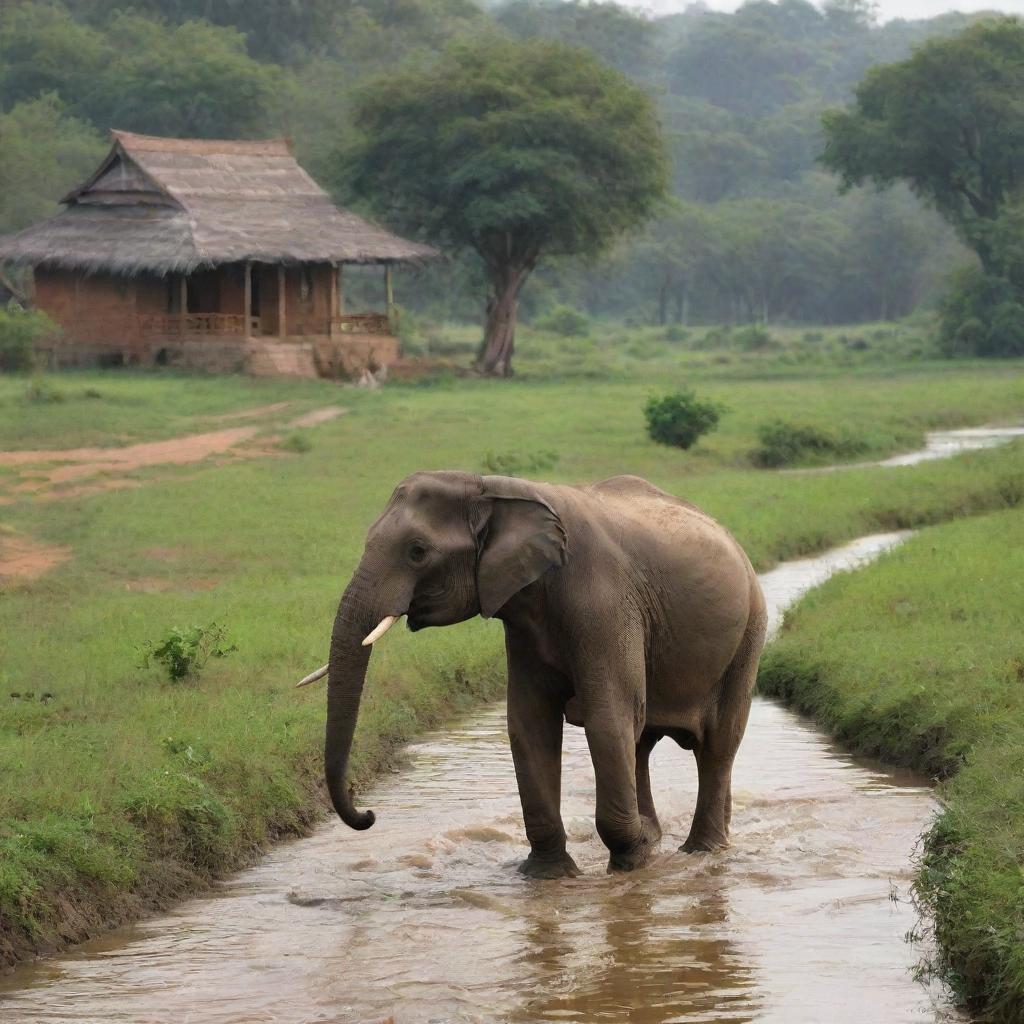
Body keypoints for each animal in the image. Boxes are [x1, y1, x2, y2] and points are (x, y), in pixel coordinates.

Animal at [299, 471, 765, 880]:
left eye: (417, 551)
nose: (368, 814)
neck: (499, 489)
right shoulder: (522, 617)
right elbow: (529, 724)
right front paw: (547, 876)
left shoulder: (605, 602)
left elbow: (606, 717)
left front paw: (628, 869)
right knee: (642, 743)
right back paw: (659, 840)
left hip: (749, 631)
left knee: (717, 744)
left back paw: (701, 852)